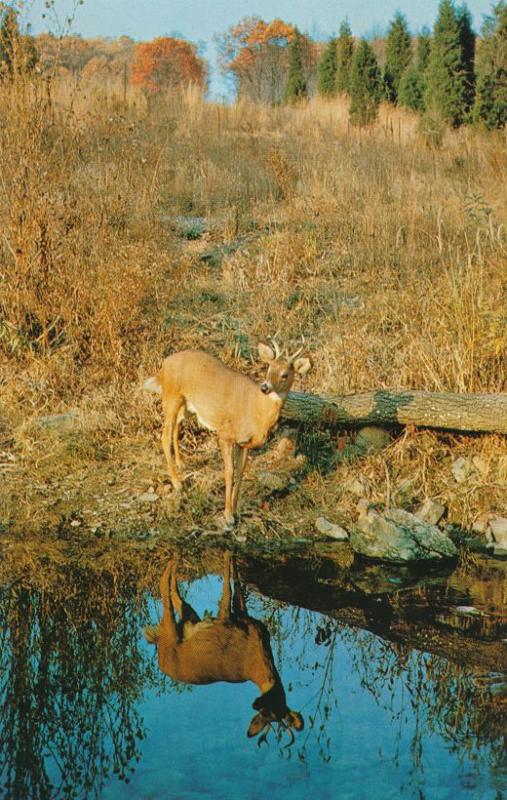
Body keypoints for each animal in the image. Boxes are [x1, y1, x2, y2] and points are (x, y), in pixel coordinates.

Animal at [143, 552, 304, 744]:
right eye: (265, 712)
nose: (255, 704)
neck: (257, 657)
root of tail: (161, 661)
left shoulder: (238, 617)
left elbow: (236, 586)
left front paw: (232, 555)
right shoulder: (226, 622)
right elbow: (229, 587)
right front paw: (228, 552)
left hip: (187, 620)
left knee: (175, 594)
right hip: (171, 635)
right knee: (163, 586)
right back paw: (174, 559)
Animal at [144, 336, 314, 524]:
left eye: (285, 374)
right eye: (268, 368)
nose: (265, 387)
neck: (256, 410)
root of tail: (165, 363)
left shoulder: (244, 443)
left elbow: (240, 472)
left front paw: (235, 509)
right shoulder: (225, 435)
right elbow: (229, 472)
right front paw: (228, 516)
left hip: (188, 406)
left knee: (175, 427)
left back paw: (181, 464)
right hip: (171, 397)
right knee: (164, 435)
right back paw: (177, 483)